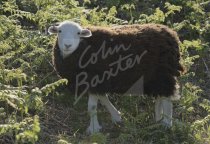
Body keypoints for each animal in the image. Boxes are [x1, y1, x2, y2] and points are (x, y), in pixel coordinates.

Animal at [48, 20, 183, 134]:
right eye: (60, 31)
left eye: (78, 33)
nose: (67, 45)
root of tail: (171, 34)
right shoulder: (97, 82)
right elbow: (103, 99)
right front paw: (116, 117)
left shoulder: (95, 79)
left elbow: (92, 107)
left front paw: (93, 129)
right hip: (153, 77)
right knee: (160, 97)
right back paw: (158, 120)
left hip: (163, 73)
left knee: (167, 99)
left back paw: (166, 124)